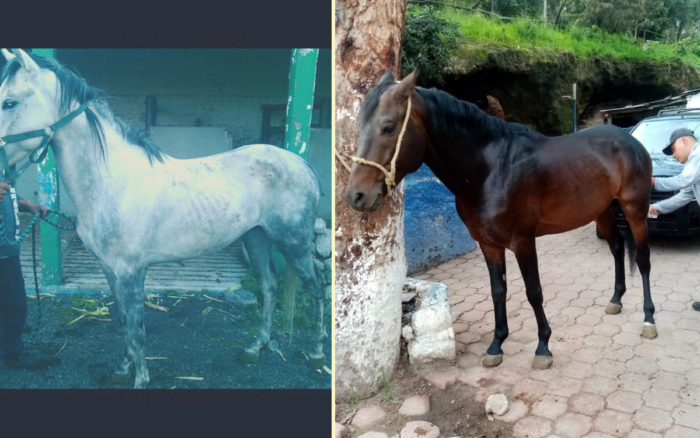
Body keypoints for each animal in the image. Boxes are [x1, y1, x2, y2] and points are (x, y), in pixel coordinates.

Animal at [0, 49, 327, 388]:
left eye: (9, 102)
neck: (114, 182)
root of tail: (302, 163)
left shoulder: (132, 270)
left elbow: (137, 328)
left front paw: (140, 379)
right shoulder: (109, 268)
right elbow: (123, 321)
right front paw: (123, 368)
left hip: (293, 243)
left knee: (316, 289)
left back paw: (317, 353)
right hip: (256, 237)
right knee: (270, 286)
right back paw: (255, 347)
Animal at [344, 69, 656, 371]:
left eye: (388, 127)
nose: (356, 195)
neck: (491, 170)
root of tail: (630, 139)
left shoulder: (523, 241)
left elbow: (534, 292)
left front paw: (543, 347)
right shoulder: (489, 244)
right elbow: (498, 291)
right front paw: (496, 345)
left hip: (635, 210)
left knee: (642, 260)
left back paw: (649, 319)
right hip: (603, 212)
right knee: (617, 249)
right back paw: (616, 300)